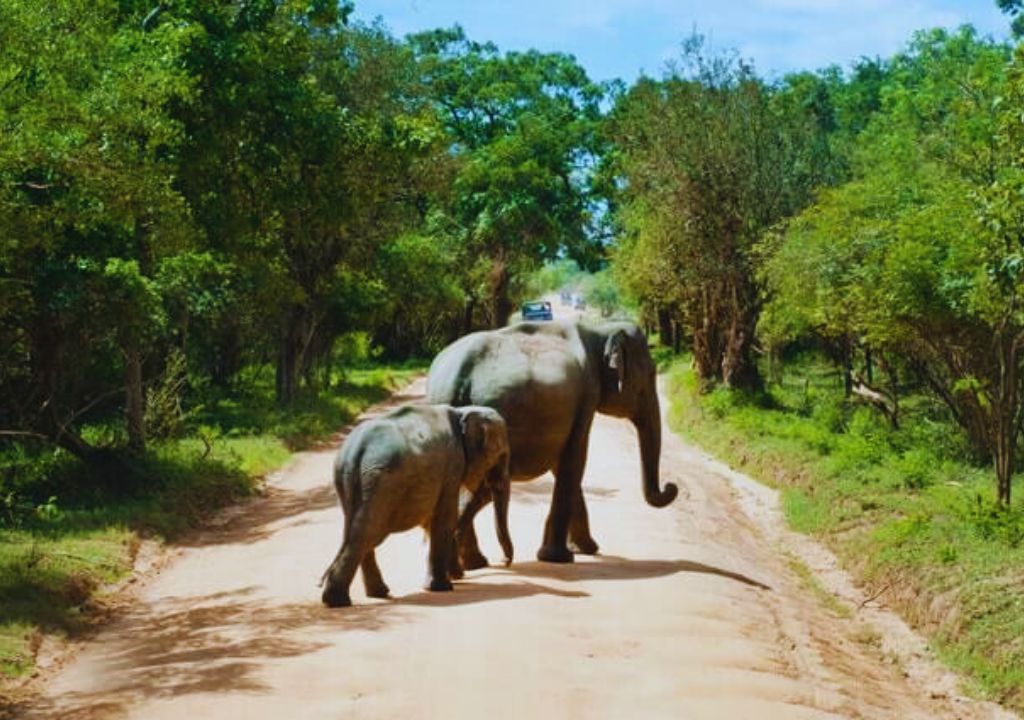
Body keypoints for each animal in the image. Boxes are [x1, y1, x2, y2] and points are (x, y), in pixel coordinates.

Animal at [320, 404, 513, 608]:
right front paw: (443, 586)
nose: (504, 562)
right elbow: (445, 516)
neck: (462, 412)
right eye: (501, 455)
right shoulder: (453, 464)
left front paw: (450, 579)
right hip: (381, 483)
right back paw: (338, 601)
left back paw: (374, 593)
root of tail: (355, 451)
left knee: (359, 531)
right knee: (369, 533)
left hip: (348, 480)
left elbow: (433, 518)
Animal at [426, 319, 678, 567]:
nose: (671, 486)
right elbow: (575, 458)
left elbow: (564, 464)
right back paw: (474, 562)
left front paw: (585, 549)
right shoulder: (587, 394)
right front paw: (559, 557)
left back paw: (474, 562)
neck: (599, 328)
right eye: (651, 374)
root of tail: (447, 382)